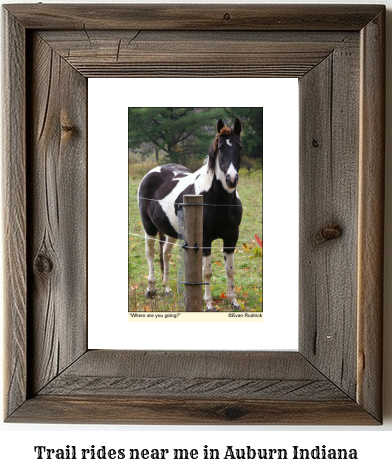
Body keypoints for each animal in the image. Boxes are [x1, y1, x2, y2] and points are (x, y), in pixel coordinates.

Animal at [137, 118, 242, 312]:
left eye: (240, 146)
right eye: (221, 147)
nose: (231, 179)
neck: (218, 199)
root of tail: (154, 171)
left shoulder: (232, 237)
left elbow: (230, 270)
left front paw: (234, 301)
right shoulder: (205, 239)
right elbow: (206, 272)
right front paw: (208, 304)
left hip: (171, 230)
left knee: (165, 253)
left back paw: (167, 289)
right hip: (149, 228)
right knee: (150, 253)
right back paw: (151, 290)